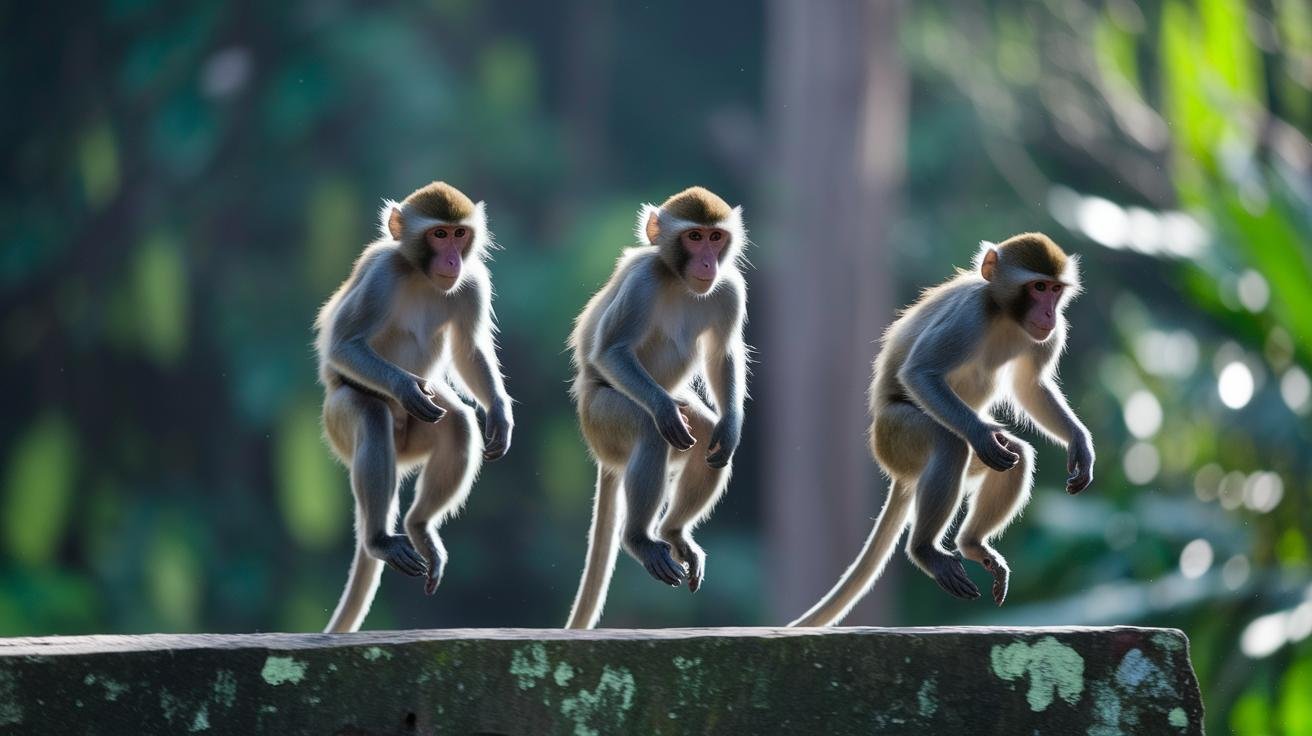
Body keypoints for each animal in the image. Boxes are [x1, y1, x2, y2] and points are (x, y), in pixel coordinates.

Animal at [314, 181, 513, 633]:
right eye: (438, 235)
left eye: (459, 234)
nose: (452, 258)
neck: (421, 275)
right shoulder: (382, 273)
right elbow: (343, 345)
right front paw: (406, 386)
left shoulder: (472, 282)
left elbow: (469, 351)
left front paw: (499, 410)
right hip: (337, 424)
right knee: (371, 417)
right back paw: (379, 540)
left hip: (416, 437)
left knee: (458, 424)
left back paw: (418, 527)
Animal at [564, 187, 749, 629]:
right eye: (694, 237)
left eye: (715, 238)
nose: (706, 262)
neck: (679, 281)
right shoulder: (642, 281)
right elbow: (612, 351)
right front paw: (664, 411)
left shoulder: (729, 287)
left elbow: (722, 355)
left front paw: (732, 424)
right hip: (600, 419)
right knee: (650, 435)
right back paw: (639, 540)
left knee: (705, 439)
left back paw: (674, 533)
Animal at [789, 232, 1094, 627]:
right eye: (1038, 287)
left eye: (1055, 290)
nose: (1049, 313)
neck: (1005, 315)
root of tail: (899, 474)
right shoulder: (970, 314)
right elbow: (921, 373)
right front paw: (981, 434)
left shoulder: (1049, 335)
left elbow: (1031, 387)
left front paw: (1079, 442)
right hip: (895, 437)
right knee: (950, 445)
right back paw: (925, 550)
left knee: (1015, 456)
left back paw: (973, 545)